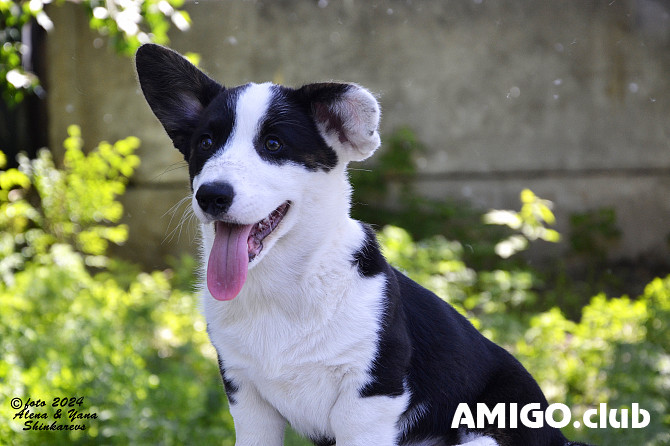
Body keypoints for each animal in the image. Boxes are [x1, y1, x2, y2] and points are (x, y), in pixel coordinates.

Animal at [136, 44, 588, 446]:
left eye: (273, 145)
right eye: (206, 143)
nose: (211, 196)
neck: (284, 289)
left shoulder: (369, 399)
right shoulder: (247, 399)